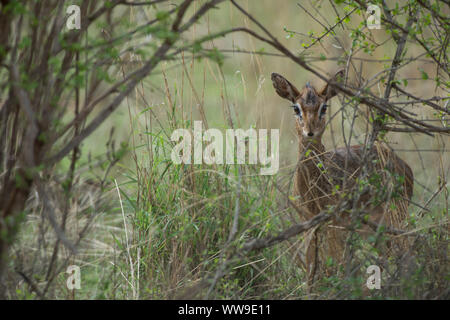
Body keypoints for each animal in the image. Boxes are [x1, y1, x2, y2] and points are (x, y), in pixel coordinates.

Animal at [270, 71, 414, 288]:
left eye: (324, 107)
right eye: (296, 107)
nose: (310, 131)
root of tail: (404, 165)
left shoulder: (334, 224)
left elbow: (336, 264)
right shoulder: (308, 223)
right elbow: (311, 268)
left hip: (393, 218)